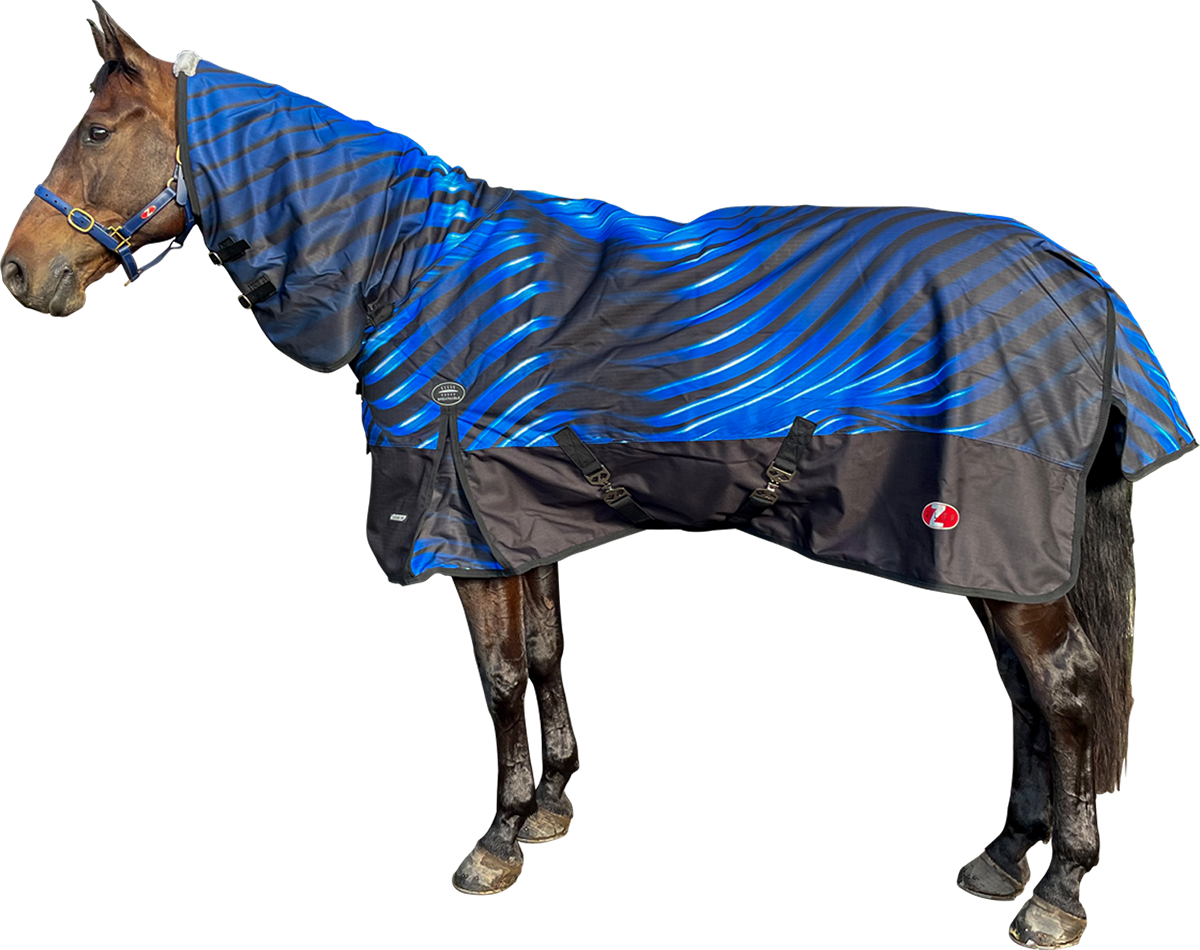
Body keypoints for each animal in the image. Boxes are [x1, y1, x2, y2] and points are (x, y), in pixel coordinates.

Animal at [4, 9, 1194, 947]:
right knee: (1031, 697)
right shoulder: (510, 519)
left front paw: (494, 837)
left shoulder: (466, 530)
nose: (21, 267)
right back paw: (1010, 852)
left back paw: (1059, 893)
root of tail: (1076, 278)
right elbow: (540, 662)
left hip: (999, 547)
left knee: (1067, 690)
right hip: (993, 558)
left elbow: (500, 679)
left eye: (96, 130)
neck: (412, 269)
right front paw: (549, 813)